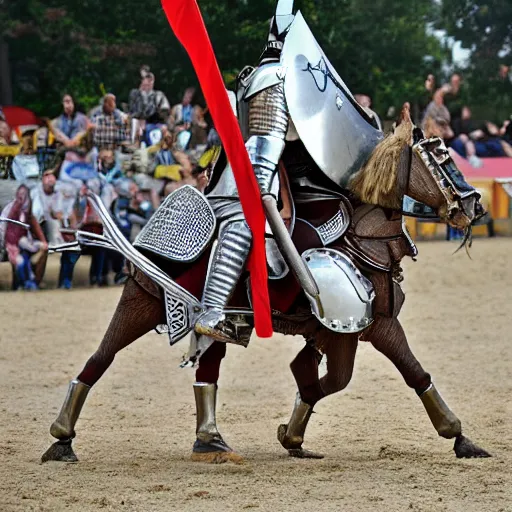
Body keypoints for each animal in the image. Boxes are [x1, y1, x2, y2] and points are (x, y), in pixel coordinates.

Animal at [41, 107, 488, 464]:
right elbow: (409, 373)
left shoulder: (346, 333)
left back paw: (210, 441)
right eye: (441, 159)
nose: (474, 205)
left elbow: (325, 380)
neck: (364, 236)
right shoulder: (374, 326)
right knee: (100, 360)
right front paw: (459, 437)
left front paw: (293, 434)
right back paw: (63, 438)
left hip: (201, 320)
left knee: (202, 371)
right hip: (142, 302)